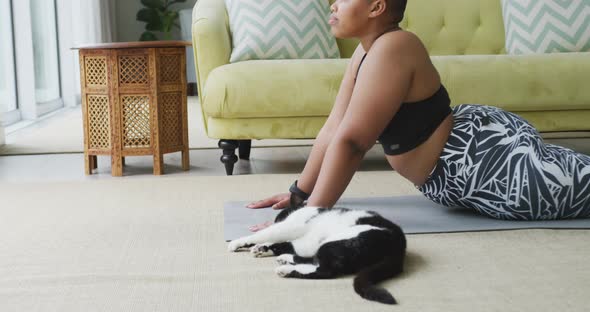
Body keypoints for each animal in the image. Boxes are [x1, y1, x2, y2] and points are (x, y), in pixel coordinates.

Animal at [228, 195, 408, 304]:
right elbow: (279, 243)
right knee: (313, 261)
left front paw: (237, 243)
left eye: (279, 217)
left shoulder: (291, 227)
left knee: (325, 270)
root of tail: (399, 246)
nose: (277, 219)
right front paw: (261, 248)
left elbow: (265, 233)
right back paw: (285, 260)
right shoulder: (299, 241)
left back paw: (285, 270)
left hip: (336, 242)